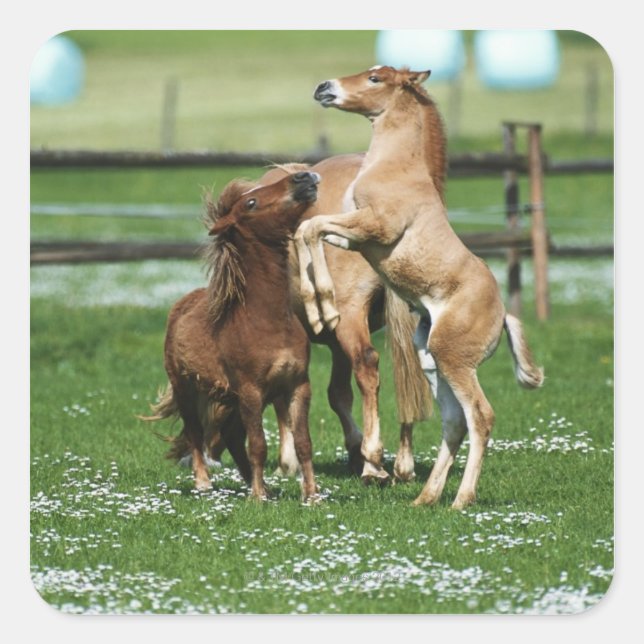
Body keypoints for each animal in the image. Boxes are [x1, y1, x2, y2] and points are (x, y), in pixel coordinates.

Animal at [142, 171, 320, 501]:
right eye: (251, 203)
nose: (303, 177)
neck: (269, 323)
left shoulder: (297, 386)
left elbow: (303, 443)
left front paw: (311, 497)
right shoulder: (251, 390)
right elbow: (259, 445)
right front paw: (258, 499)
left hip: (234, 400)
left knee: (232, 435)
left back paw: (255, 483)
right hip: (187, 389)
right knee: (196, 432)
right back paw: (205, 483)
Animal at [295, 65, 544, 509]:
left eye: (375, 78)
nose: (324, 87)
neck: (396, 167)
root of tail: (502, 315)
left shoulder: (374, 227)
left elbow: (313, 226)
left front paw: (324, 304)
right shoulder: (354, 236)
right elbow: (308, 229)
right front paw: (316, 304)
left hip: (454, 359)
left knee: (480, 416)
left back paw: (461, 499)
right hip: (430, 358)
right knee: (454, 422)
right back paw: (426, 498)